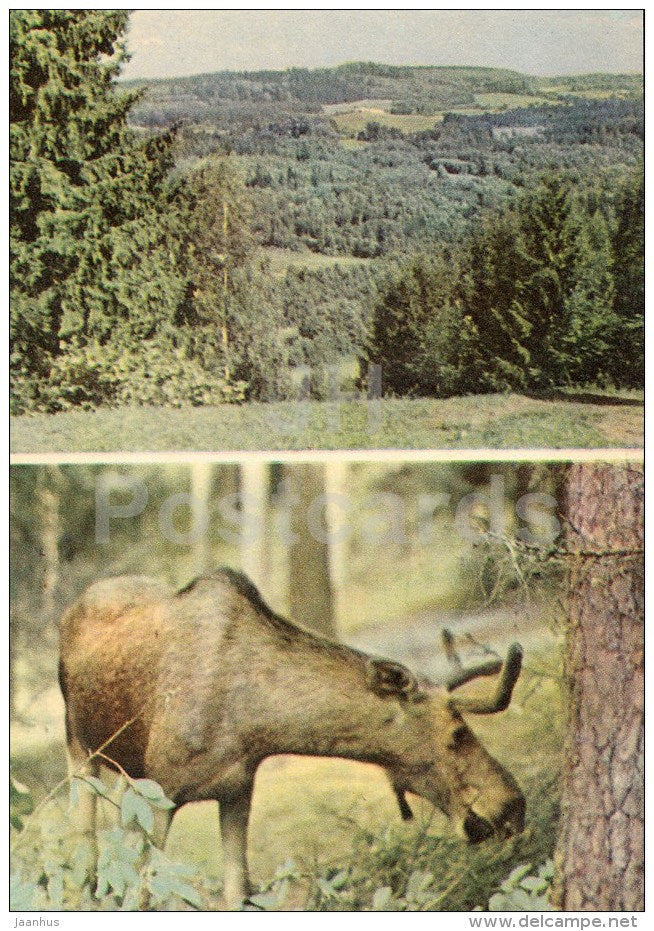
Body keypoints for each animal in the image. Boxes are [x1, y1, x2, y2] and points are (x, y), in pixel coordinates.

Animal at [59, 567, 526, 909]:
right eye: (457, 733)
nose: (513, 806)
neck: (254, 723)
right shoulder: (163, 793)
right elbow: (145, 892)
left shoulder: (237, 790)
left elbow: (238, 893)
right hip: (79, 746)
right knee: (85, 846)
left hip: (126, 770)